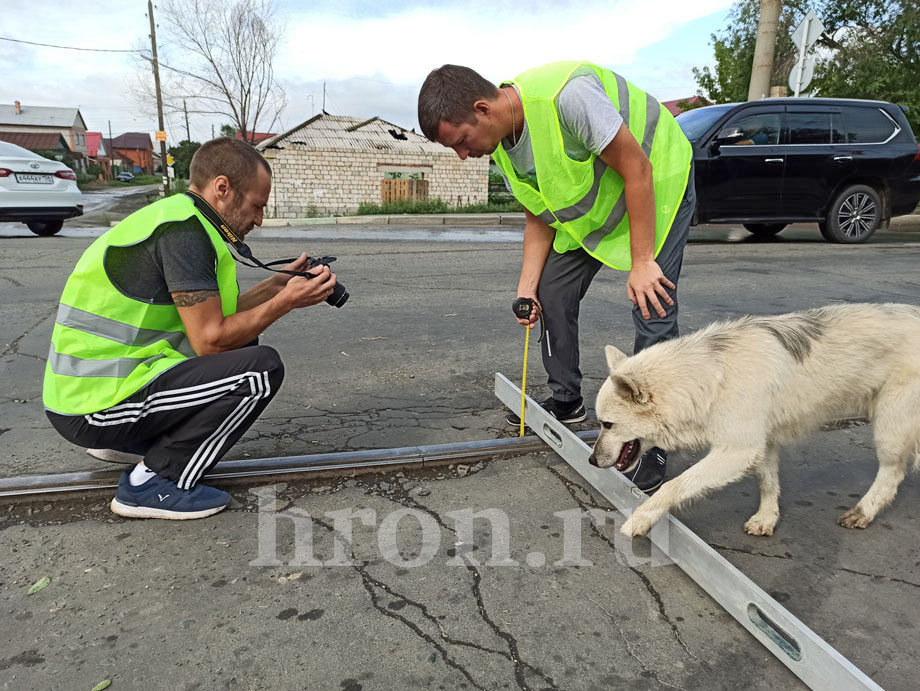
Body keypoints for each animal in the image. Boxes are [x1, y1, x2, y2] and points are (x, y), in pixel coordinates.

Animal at [588, 306, 920, 536]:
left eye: (608, 425)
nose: (591, 461)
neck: (710, 377)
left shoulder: (737, 451)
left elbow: (672, 486)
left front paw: (640, 519)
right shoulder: (762, 445)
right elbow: (767, 482)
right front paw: (766, 518)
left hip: (888, 428)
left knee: (892, 474)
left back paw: (863, 511)